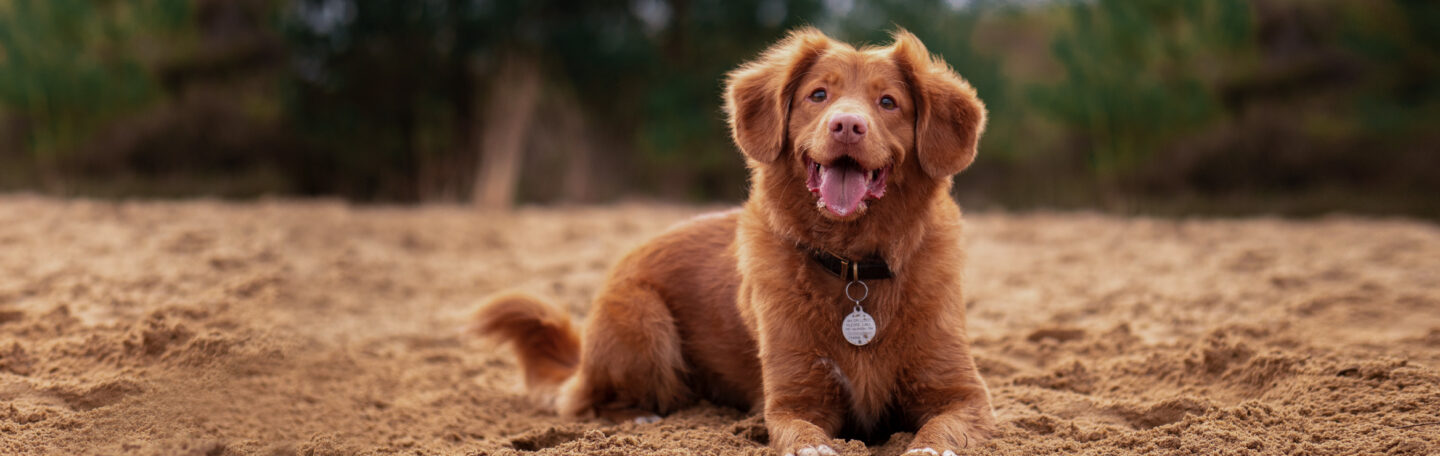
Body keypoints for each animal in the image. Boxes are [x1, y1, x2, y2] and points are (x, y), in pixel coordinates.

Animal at [478, 28, 996, 454]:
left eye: (888, 102)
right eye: (819, 95)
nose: (847, 125)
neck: (854, 266)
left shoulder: (964, 394)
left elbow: (941, 432)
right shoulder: (793, 400)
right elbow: (803, 435)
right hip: (644, 321)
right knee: (587, 402)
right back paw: (645, 418)